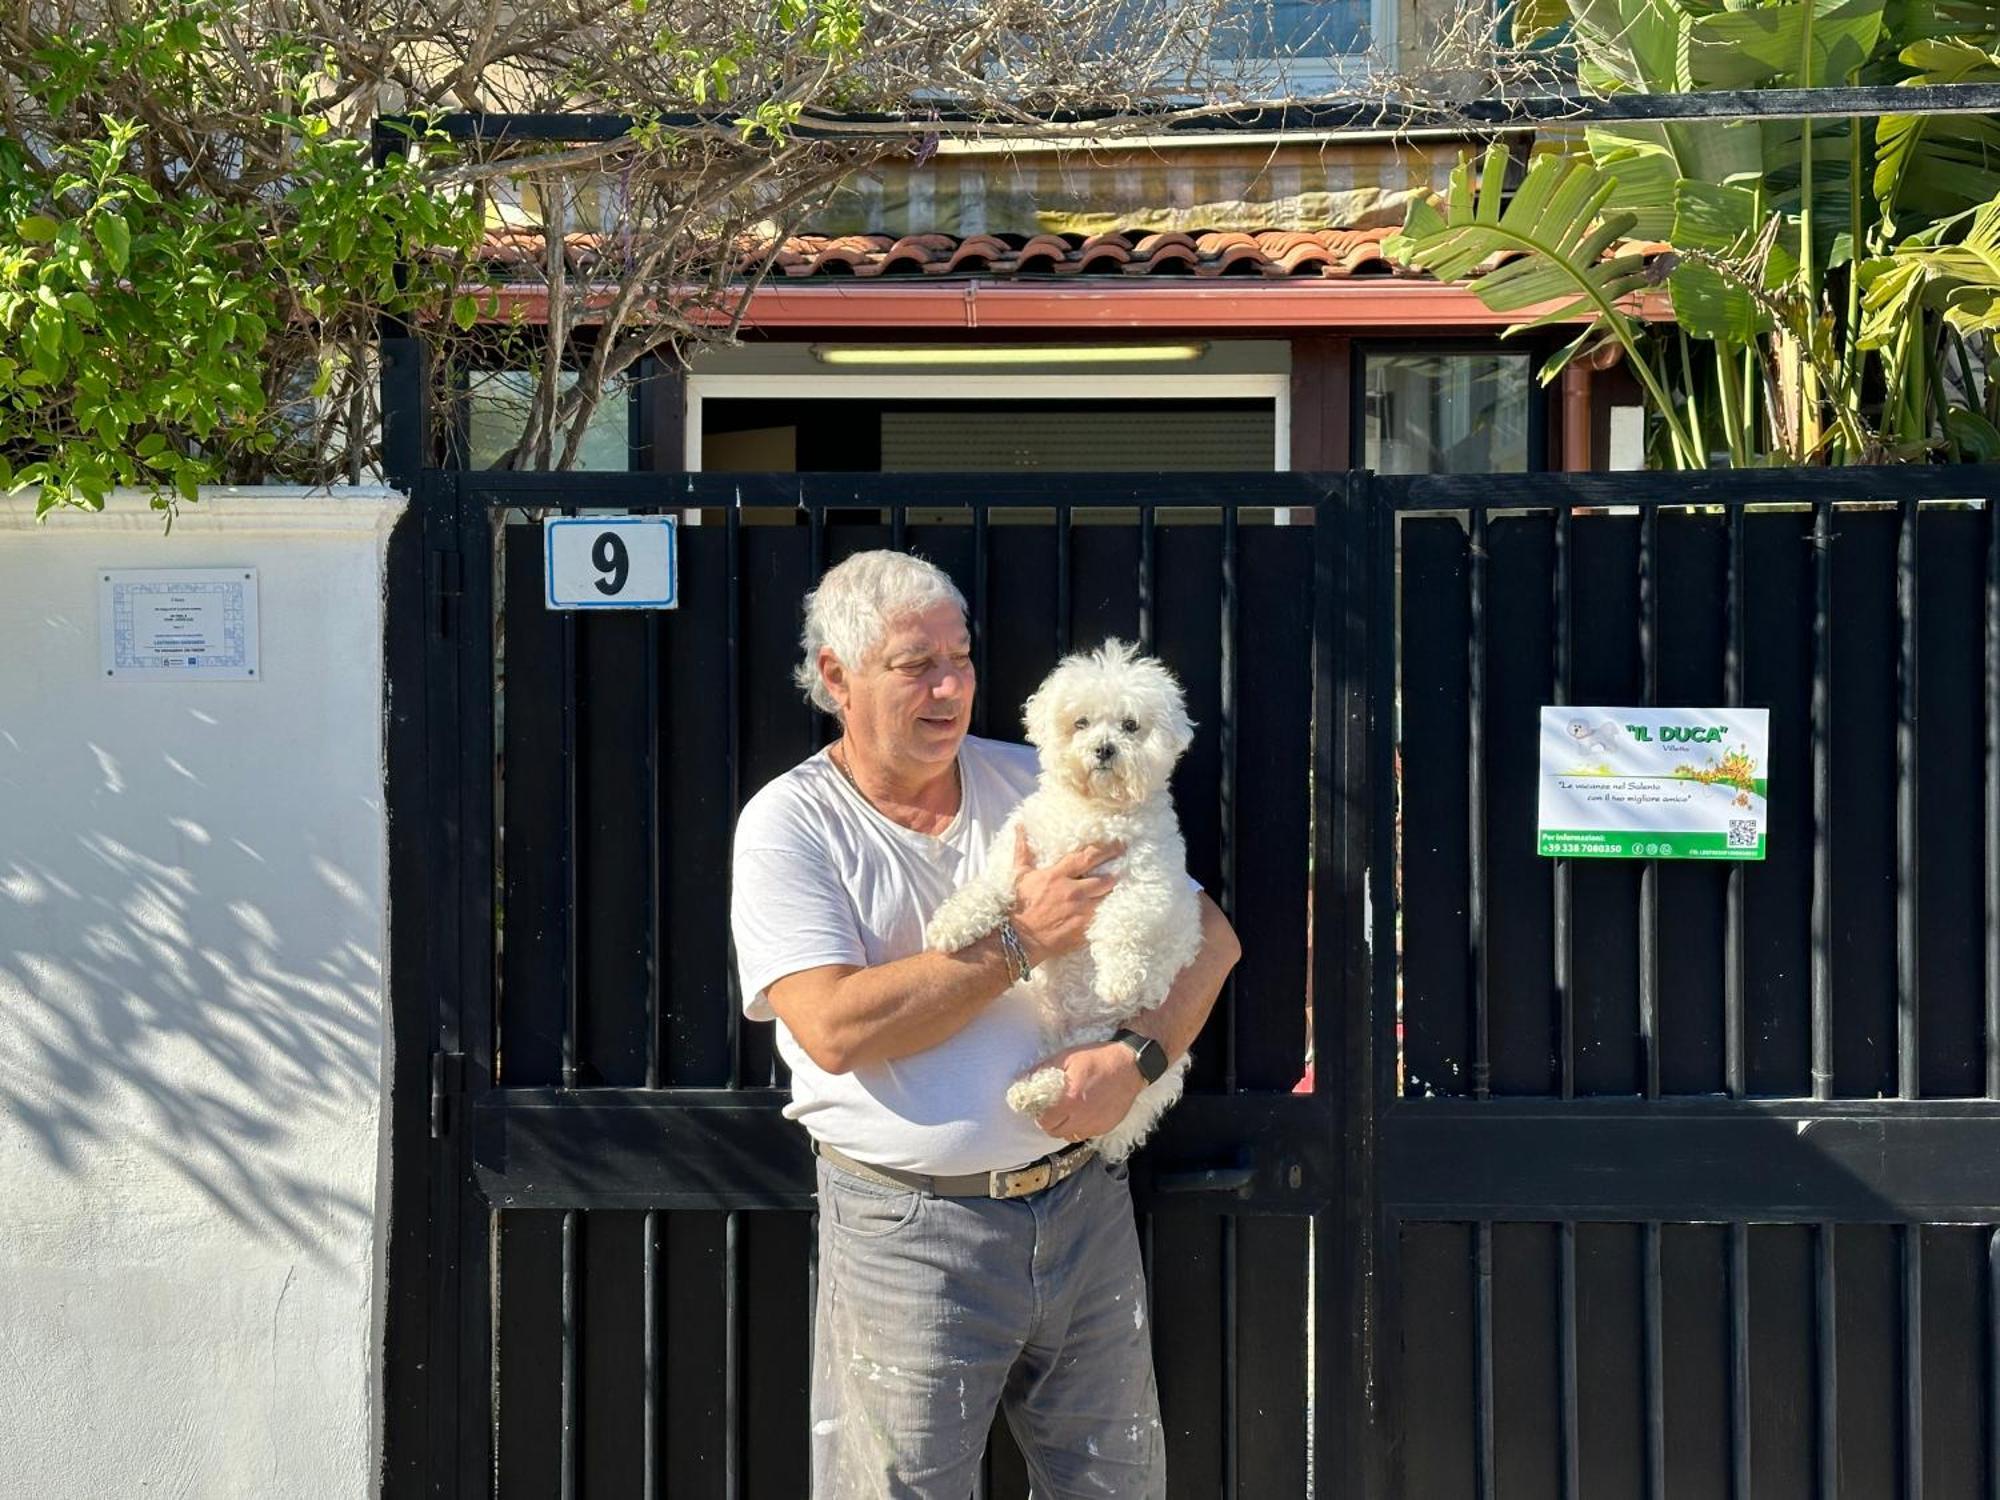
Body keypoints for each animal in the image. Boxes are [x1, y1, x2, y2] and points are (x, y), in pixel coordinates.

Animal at [924, 640, 1192, 1168]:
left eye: (1130, 725)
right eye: (1081, 722)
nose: (1104, 749)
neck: (1092, 811)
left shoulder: (1148, 882)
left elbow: (1121, 921)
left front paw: (1118, 977)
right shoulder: (1016, 859)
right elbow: (985, 890)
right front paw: (951, 924)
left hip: (1096, 1042)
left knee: (1068, 1076)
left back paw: (1035, 1091)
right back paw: (1029, 1091)